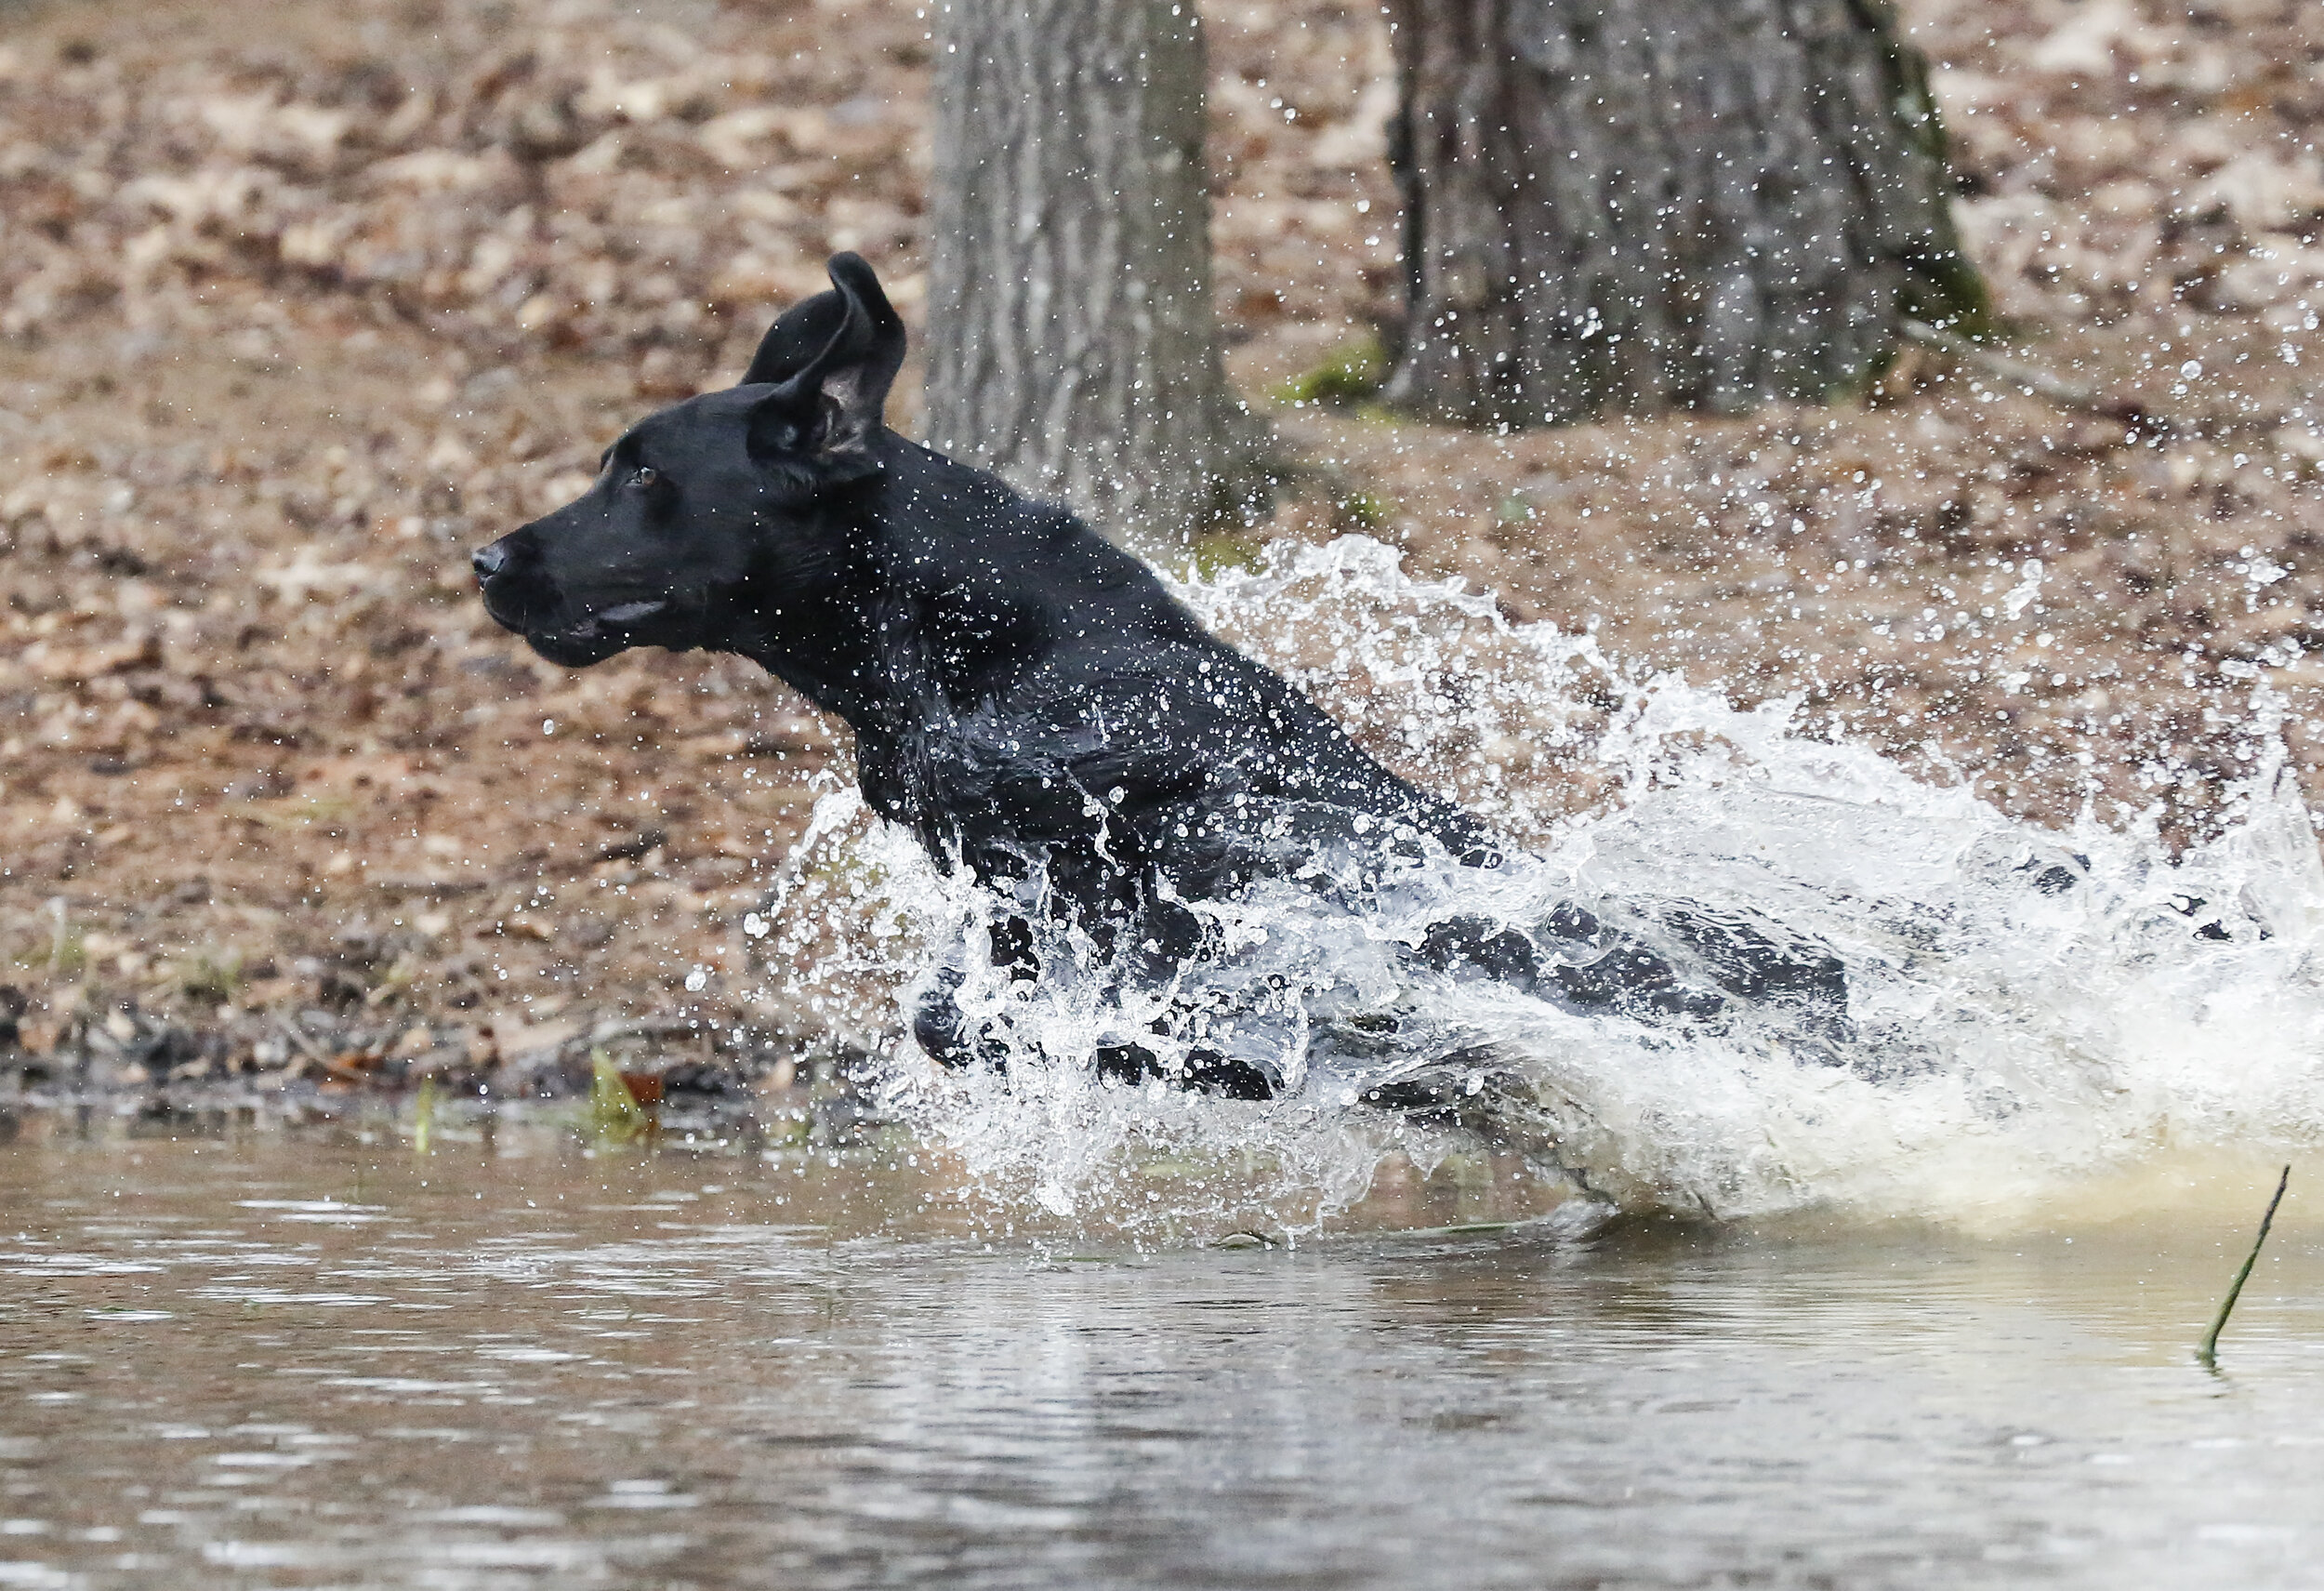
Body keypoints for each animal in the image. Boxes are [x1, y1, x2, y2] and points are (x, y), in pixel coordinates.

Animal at [476, 254, 1850, 1097]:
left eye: (645, 476)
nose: (487, 558)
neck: (962, 651)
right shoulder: (1012, 897)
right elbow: (956, 1016)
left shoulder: (1185, 850)